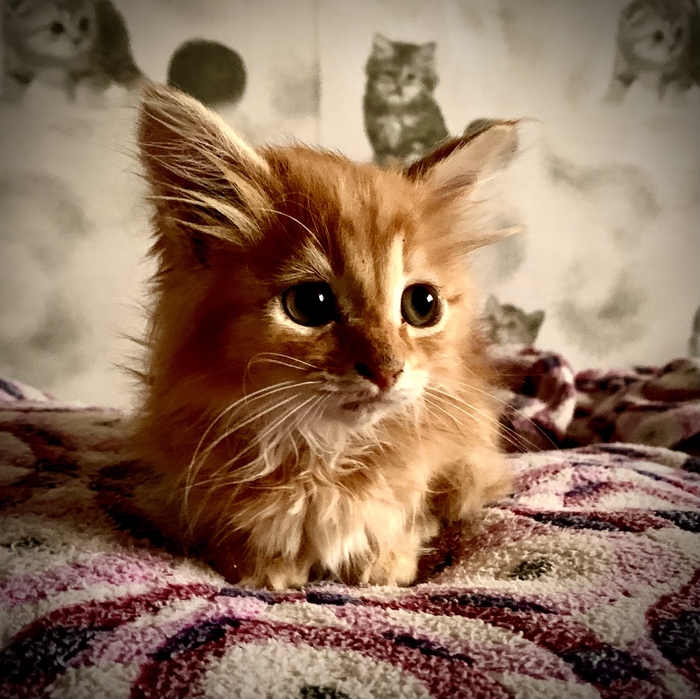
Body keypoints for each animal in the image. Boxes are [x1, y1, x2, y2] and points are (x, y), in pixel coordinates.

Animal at [132, 83, 516, 590]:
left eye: (422, 304)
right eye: (310, 304)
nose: (388, 370)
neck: (326, 455)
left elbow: (418, 514)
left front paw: (387, 556)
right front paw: (263, 563)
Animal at [363, 33, 449, 168]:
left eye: (411, 76)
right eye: (390, 73)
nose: (398, 88)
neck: (397, 109)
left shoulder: (422, 134)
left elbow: (412, 152)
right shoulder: (378, 138)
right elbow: (385, 158)